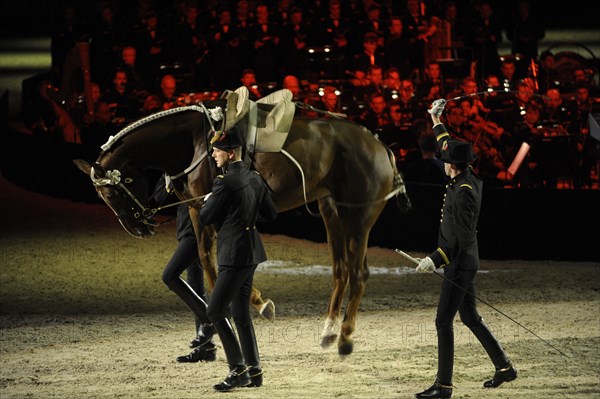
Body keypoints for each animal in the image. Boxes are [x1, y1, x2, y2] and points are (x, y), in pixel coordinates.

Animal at [74, 102, 412, 356]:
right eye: (102, 197)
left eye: (114, 191)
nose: (139, 227)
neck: (193, 141)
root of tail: (380, 144)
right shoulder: (197, 209)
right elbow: (204, 260)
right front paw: (220, 321)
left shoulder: (213, 208)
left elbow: (213, 264)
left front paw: (249, 308)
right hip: (332, 211)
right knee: (341, 270)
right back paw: (329, 332)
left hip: (358, 217)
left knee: (358, 273)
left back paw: (345, 337)